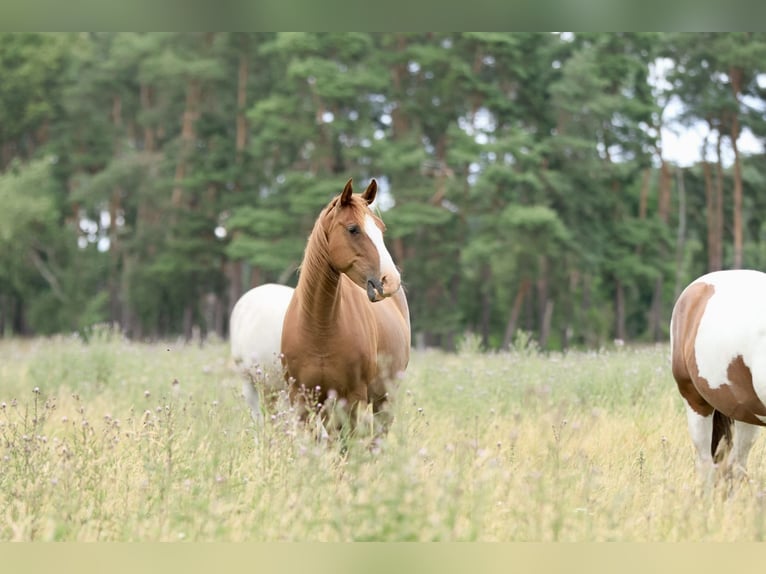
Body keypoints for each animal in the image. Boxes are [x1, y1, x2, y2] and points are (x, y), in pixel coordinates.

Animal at [281, 178, 411, 438]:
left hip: (385, 398)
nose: (390, 280)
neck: (319, 327)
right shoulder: (301, 399)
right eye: (353, 229)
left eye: (381, 229)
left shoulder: (352, 399)